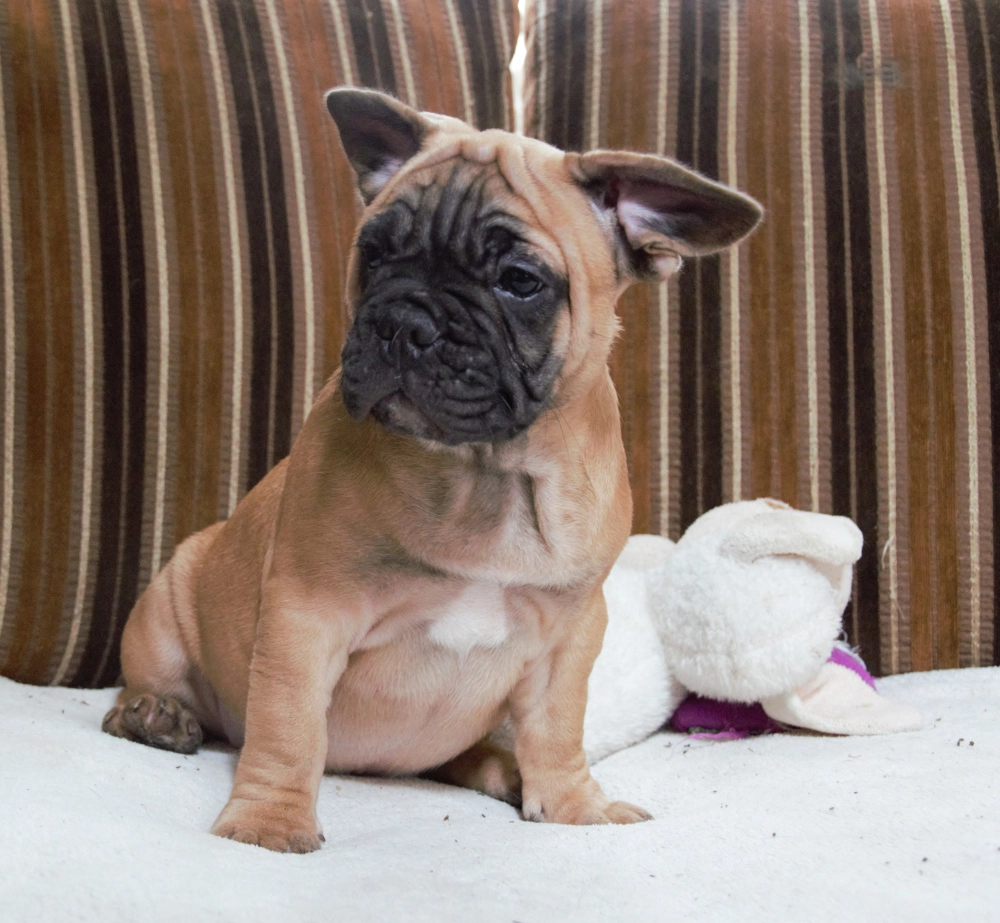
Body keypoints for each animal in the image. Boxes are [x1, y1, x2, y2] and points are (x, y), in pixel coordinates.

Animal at [102, 88, 762, 852]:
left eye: (519, 282)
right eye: (374, 253)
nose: (404, 323)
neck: (486, 472)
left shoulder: (569, 637)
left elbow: (557, 730)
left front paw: (574, 804)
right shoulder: (305, 617)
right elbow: (288, 728)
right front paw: (269, 820)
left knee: (476, 751)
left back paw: (505, 769)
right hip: (165, 612)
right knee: (167, 688)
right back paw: (153, 715)